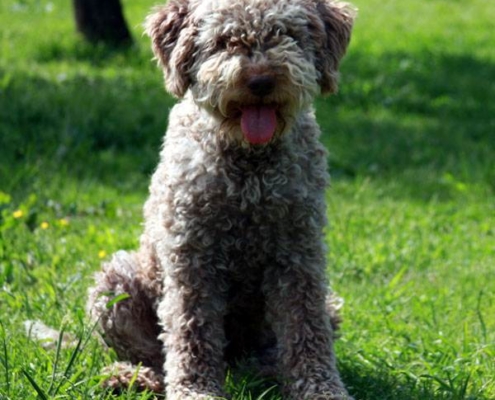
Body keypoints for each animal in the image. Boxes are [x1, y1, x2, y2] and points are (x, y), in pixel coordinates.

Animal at [86, 1, 356, 398]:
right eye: (224, 41)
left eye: (287, 34)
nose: (260, 81)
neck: (250, 171)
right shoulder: (192, 255)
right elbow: (191, 329)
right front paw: (195, 390)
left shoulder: (299, 253)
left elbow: (306, 328)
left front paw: (321, 389)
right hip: (116, 284)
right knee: (151, 352)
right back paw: (131, 377)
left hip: (327, 302)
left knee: (276, 350)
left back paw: (268, 373)